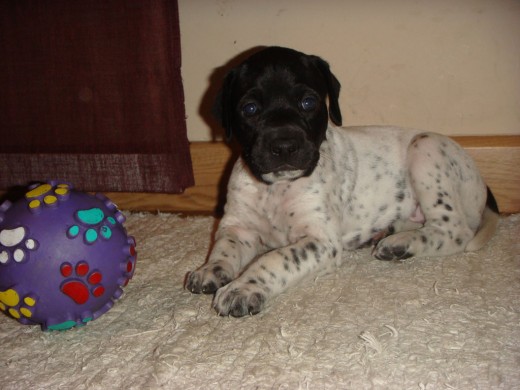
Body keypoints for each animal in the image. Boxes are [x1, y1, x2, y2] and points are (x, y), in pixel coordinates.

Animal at [185, 46, 498, 316]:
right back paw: (389, 233)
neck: (275, 188)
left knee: (454, 231)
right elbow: (224, 246)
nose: (284, 146)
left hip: (425, 148)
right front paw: (210, 269)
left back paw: (402, 243)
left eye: (308, 102)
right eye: (249, 109)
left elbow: (273, 258)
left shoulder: (320, 241)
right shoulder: (239, 228)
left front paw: (243, 288)